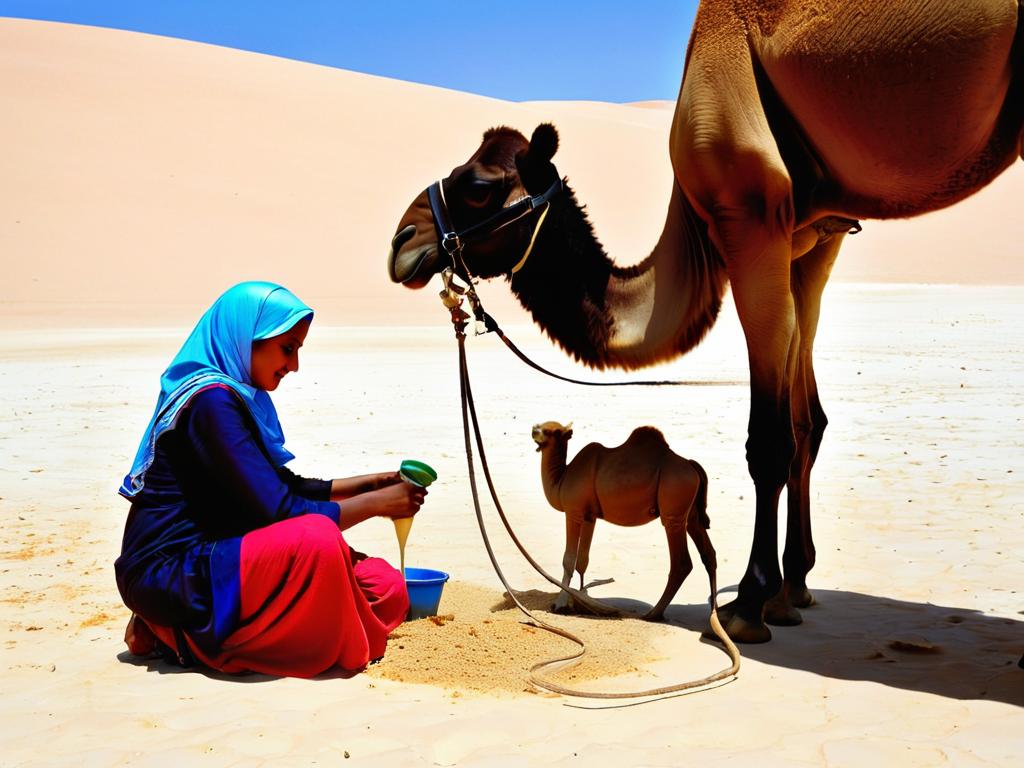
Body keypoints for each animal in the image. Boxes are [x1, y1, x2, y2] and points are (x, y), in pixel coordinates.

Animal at [536, 423, 712, 622]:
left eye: (550, 431)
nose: (533, 430)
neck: (562, 480)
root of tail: (691, 464)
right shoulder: (590, 516)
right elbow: (582, 560)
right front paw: (582, 601)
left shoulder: (574, 512)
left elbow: (569, 559)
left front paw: (559, 605)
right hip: (692, 514)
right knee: (709, 554)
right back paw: (714, 615)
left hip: (674, 509)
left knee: (681, 563)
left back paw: (653, 614)